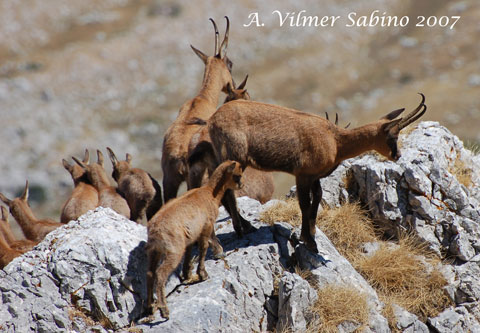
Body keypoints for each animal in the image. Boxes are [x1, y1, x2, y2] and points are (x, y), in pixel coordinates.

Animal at [144, 160, 242, 318]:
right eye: (237, 175)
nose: (241, 185)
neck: (210, 193)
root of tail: (154, 230)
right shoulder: (207, 225)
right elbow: (205, 246)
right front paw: (204, 273)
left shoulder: (191, 235)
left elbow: (191, 251)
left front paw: (187, 274)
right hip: (174, 250)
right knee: (160, 274)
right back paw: (164, 310)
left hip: (154, 251)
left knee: (149, 273)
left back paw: (149, 307)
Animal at [162, 16, 233, 202]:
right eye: (230, 64)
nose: (231, 85)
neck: (202, 99)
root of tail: (178, 154)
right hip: (194, 176)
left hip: (169, 180)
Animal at [189, 92, 426, 250]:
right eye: (393, 135)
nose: (398, 155)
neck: (335, 140)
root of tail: (212, 120)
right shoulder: (302, 174)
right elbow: (304, 203)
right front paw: (309, 240)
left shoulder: (314, 176)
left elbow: (317, 198)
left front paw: (311, 232)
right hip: (235, 157)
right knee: (228, 191)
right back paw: (242, 229)